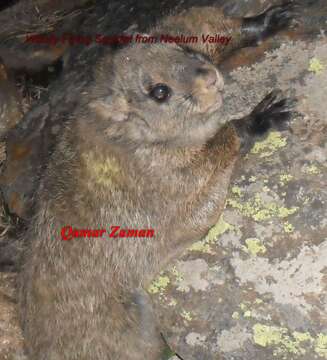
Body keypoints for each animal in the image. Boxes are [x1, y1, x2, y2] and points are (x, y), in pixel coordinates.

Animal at [18, 3, 298, 360]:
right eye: (160, 92)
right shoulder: (171, 176)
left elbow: (200, 23)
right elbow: (219, 149)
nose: (210, 76)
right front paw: (262, 116)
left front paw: (268, 20)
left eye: (182, 49)